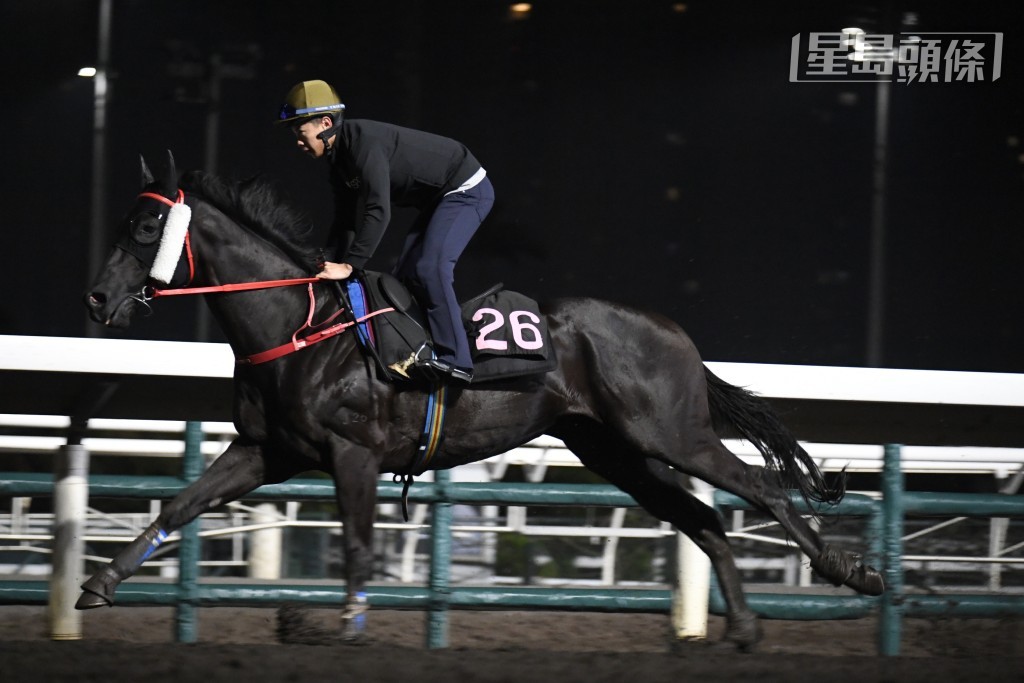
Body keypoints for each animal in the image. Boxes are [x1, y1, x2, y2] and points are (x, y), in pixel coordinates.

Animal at [79, 154, 884, 651]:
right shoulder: (265, 449)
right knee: (707, 520)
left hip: (670, 432)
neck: (297, 328)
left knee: (758, 486)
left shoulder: (352, 453)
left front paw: (341, 630)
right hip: (616, 450)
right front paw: (98, 582)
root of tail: (674, 331)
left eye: (144, 227)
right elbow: (180, 503)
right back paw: (745, 629)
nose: (96, 298)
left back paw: (851, 571)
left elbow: (359, 544)